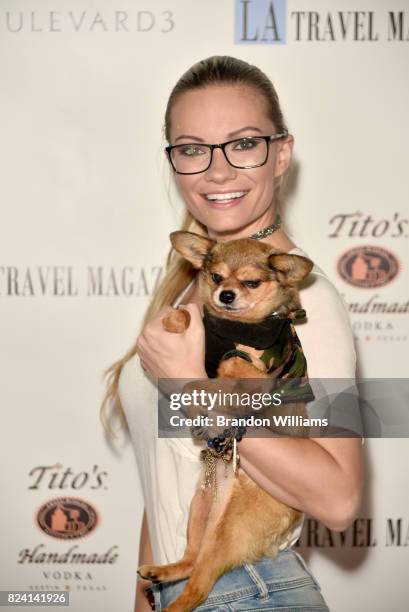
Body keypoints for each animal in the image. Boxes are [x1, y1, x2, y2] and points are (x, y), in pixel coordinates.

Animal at [137, 231, 312, 612]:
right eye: (216, 277)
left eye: (251, 282)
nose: (226, 295)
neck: (233, 327)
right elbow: (193, 321)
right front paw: (176, 320)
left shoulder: (254, 375)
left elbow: (218, 375)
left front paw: (196, 384)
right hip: (200, 511)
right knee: (191, 562)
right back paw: (160, 571)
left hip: (227, 535)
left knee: (199, 587)